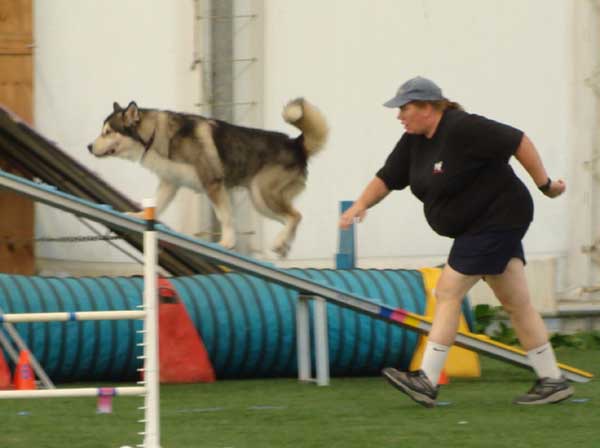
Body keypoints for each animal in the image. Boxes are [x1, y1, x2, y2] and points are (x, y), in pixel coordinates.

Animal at [88, 100, 328, 258]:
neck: (155, 134)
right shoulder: (170, 183)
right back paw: (283, 245)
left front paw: (227, 243)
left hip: (263, 194)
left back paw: (280, 242)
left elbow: (225, 217)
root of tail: (296, 144)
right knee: (291, 218)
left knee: (295, 215)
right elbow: (156, 205)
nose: (89, 147)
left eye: (107, 132)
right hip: (260, 201)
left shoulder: (212, 183)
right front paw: (139, 216)